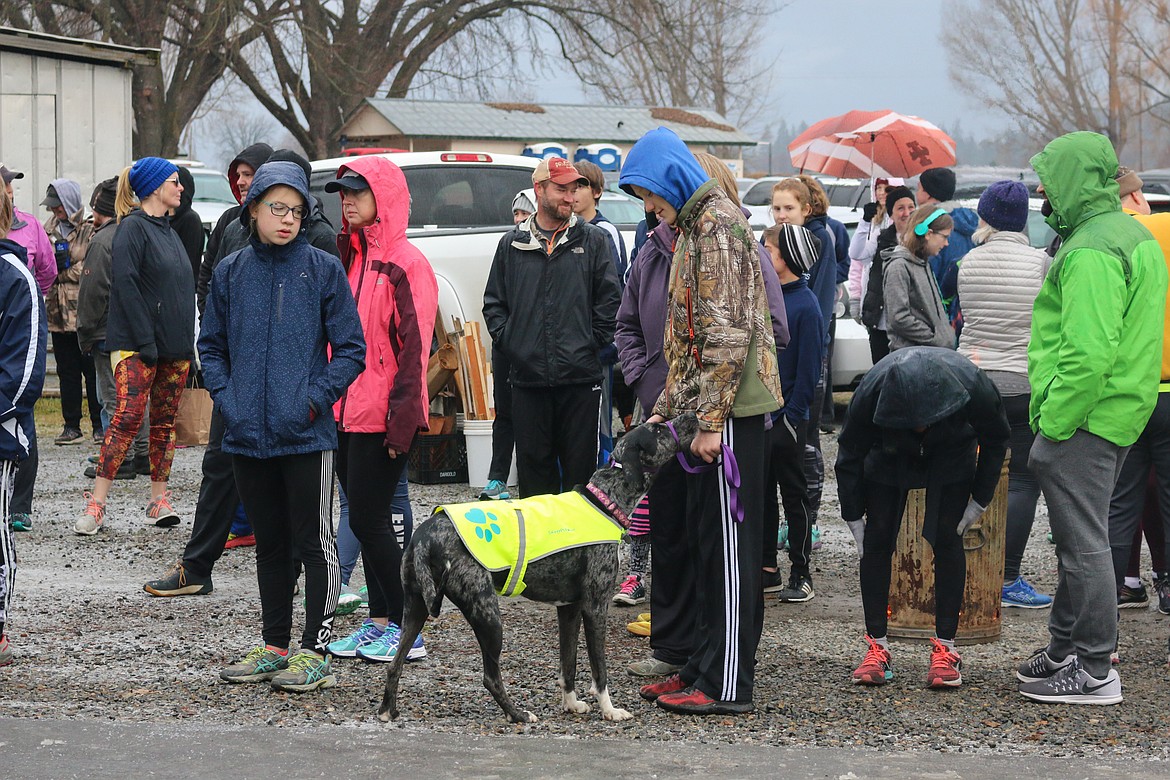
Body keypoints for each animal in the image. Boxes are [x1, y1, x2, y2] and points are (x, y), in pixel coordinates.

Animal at [379, 413, 697, 725]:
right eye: (658, 429)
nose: (693, 415)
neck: (604, 501)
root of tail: (425, 535)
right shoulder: (595, 607)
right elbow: (599, 669)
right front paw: (609, 709)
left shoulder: (569, 609)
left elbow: (568, 664)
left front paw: (571, 703)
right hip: (487, 614)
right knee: (490, 677)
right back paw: (517, 714)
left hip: (416, 609)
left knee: (395, 664)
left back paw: (387, 711)